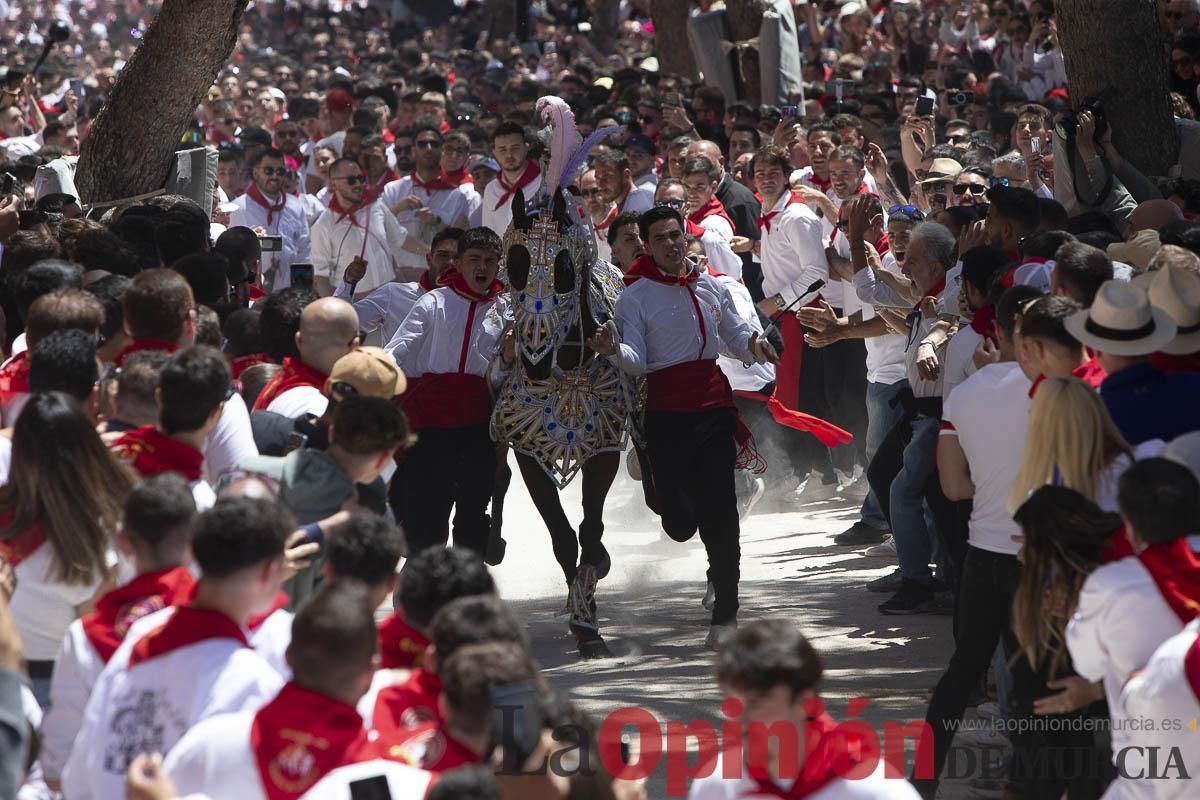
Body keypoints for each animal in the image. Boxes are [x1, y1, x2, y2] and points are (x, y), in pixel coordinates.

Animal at [487, 95, 638, 657]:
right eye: (512, 262)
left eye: (565, 268)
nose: (531, 360)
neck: (567, 371)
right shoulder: (529, 453)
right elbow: (560, 534)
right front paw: (579, 613)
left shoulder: (602, 449)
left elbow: (591, 526)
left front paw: (588, 614)